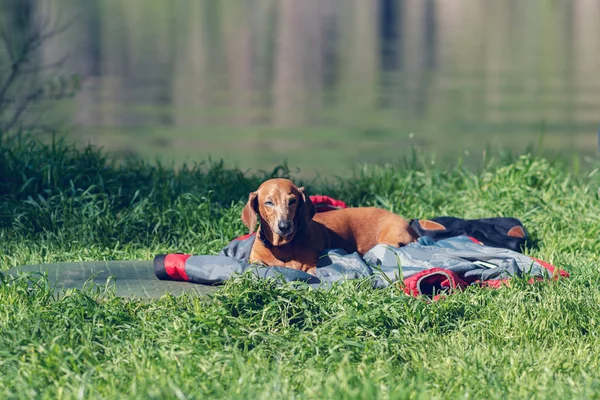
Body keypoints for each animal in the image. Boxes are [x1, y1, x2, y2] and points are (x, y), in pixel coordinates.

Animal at [239, 178, 418, 276]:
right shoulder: (254, 261)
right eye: (269, 202)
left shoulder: (311, 266)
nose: (284, 226)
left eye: (292, 201)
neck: (282, 246)